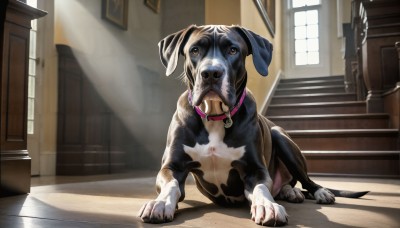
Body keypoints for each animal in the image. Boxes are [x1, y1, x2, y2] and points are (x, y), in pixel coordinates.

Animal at [138, 25, 368, 226]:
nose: (211, 73)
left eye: (233, 50)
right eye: (195, 50)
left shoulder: (255, 169)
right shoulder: (172, 166)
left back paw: (314, 192)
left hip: (280, 136)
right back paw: (289, 191)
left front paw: (268, 206)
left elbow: (261, 189)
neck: (215, 117)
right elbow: (171, 185)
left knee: (305, 181)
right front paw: (160, 203)